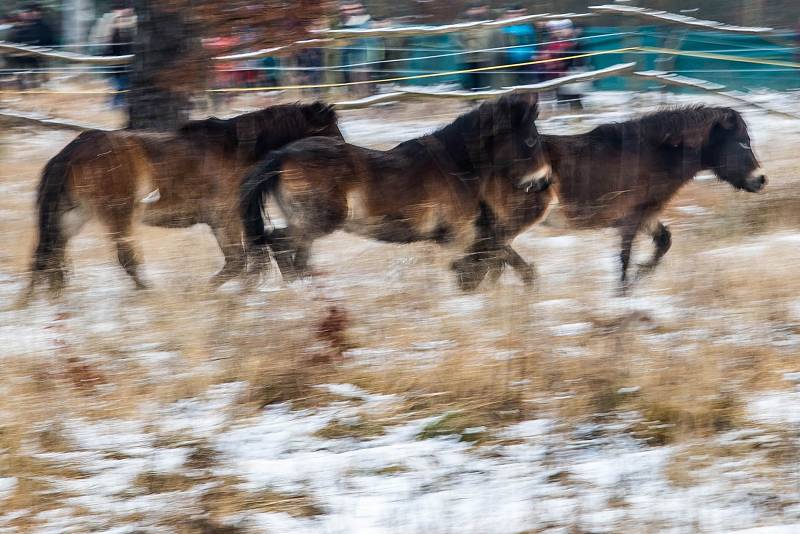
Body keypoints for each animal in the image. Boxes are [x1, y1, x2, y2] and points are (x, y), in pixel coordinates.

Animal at [21, 100, 340, 302]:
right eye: (330, 135)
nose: (343, 161)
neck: (239, 152)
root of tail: (69, 154)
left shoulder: (224, 220)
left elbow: (242, 259)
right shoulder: (227, 217)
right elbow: (241, 260)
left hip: (71, 216)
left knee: (48, 256)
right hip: (119, 214)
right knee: (124, 259)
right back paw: (151, 293)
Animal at [238, 94, 552, 292]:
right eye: (531, 140)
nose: (543, 182)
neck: (458, 165)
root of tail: (281, 155)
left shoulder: (471, 231)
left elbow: (501, 252)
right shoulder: (457, 233)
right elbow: (490, 253)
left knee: (292, 251)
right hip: (319, 220)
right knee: (279, 242)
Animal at [472, 105, 764, 294]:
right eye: (742, 142)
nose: (761, 180)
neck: (653, 154)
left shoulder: (646, 216)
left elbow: (664, 242)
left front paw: (640, 277)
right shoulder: (631, 219)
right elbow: (625, 257)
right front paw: (623, 292)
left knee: (493, 247)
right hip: (523, 214)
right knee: (494, 244)